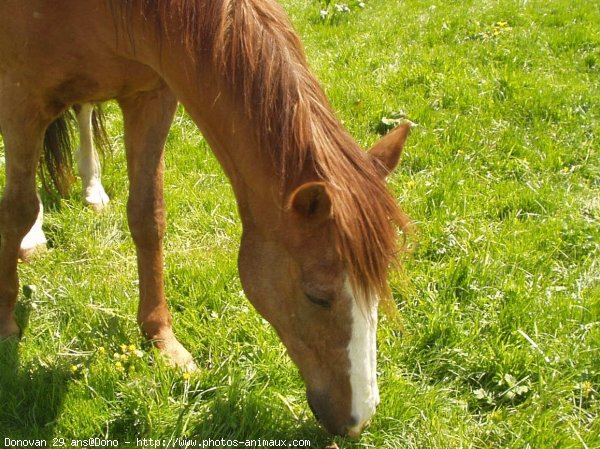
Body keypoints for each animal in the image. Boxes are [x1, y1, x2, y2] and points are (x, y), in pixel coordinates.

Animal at [0, 0, 408, 436]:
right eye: (318, 296)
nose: (358, 420)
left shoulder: (153, 95)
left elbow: (148, 215)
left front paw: (163, 341)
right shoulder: (20, 99)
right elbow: (18, 209)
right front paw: (5, 325)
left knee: (84, 109)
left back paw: (92, 188)